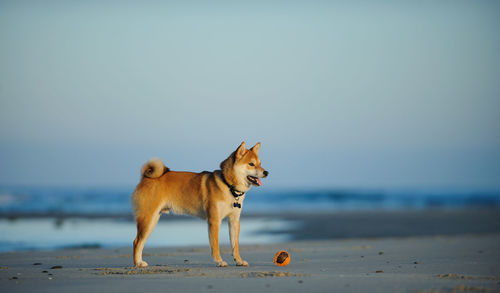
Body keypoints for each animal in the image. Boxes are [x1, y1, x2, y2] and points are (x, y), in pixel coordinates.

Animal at [131, 141, 268, 266]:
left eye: (260, 164)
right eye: (251, 164)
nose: (266, 172)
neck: (228, 186)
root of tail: (145, 178)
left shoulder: (234, 220)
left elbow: (235, 245)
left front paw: (239, 261)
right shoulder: (214, 220)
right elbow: (215, 245)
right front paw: (219, 261)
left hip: (153, 220)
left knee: (140, 242)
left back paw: (140, 262)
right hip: (148, 218)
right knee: (137, 242)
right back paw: (138, 263)